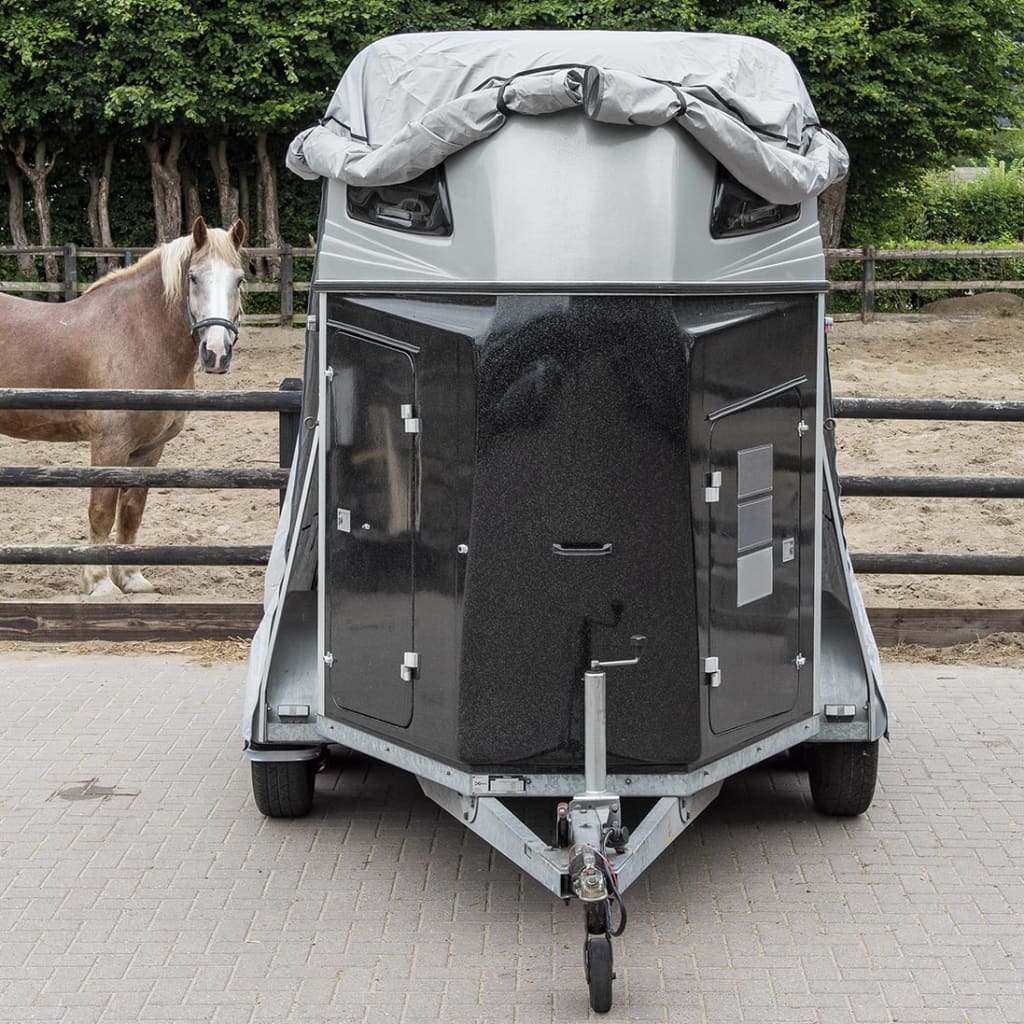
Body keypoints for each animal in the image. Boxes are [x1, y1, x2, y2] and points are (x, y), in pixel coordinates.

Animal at [0, 216, 246, 597]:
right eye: (193, 277)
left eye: (239, 278)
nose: (216, 353)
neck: (138, 335)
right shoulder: (109, 445)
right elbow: (101, 510)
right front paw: (100, 583)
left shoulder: (148, 449)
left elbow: (131, 512)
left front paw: (131, 578)